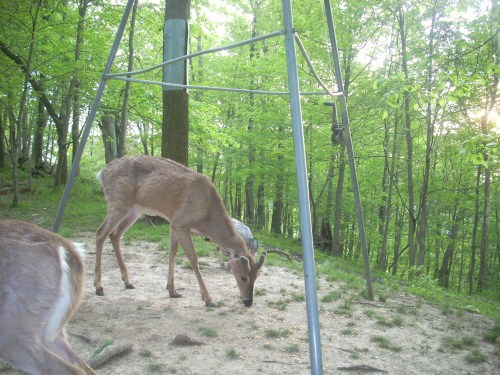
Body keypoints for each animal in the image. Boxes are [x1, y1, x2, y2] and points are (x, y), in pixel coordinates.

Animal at [94, 156, 266, 308]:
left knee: (114, 234)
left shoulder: (173, 223)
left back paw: (127, 282)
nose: (248, 302)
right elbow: (193, 258)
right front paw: (208, 299)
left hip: (134, 209)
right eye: (243, 277)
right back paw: (99, 287)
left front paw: (172, 290)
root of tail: (102, 173)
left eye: (257, 276)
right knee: (101, 232)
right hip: (119, 201)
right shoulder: (181, 222)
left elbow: (172, 252)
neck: (206, 214)